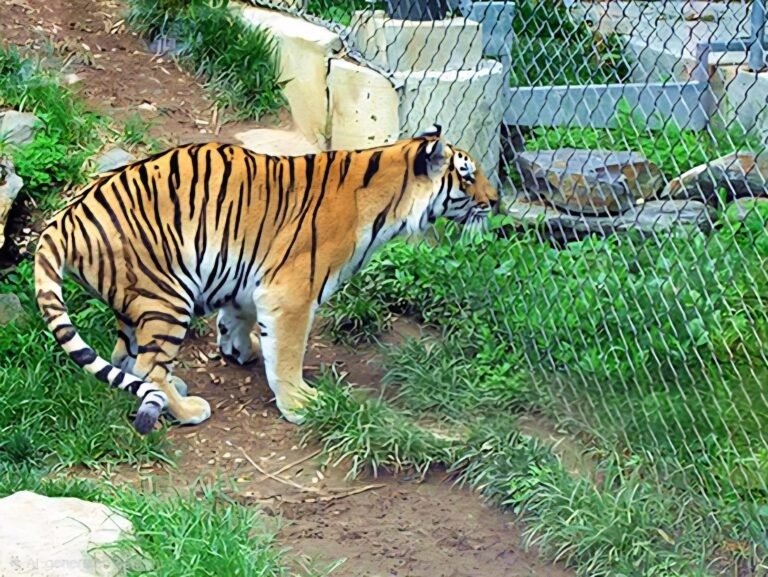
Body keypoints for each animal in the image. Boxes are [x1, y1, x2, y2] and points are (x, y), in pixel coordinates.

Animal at [34, 125, 499, 435]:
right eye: (468, 175)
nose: (495, 202)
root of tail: (65, 218)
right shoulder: (292, 291)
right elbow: (289, 353)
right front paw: (301, 403)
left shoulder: (248, 275)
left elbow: (237, 317)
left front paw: (242, 348)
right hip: (168, 295)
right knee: (148, 366)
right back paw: (186, 410)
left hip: (138, 300)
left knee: (126, 358)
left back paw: (171, 390)